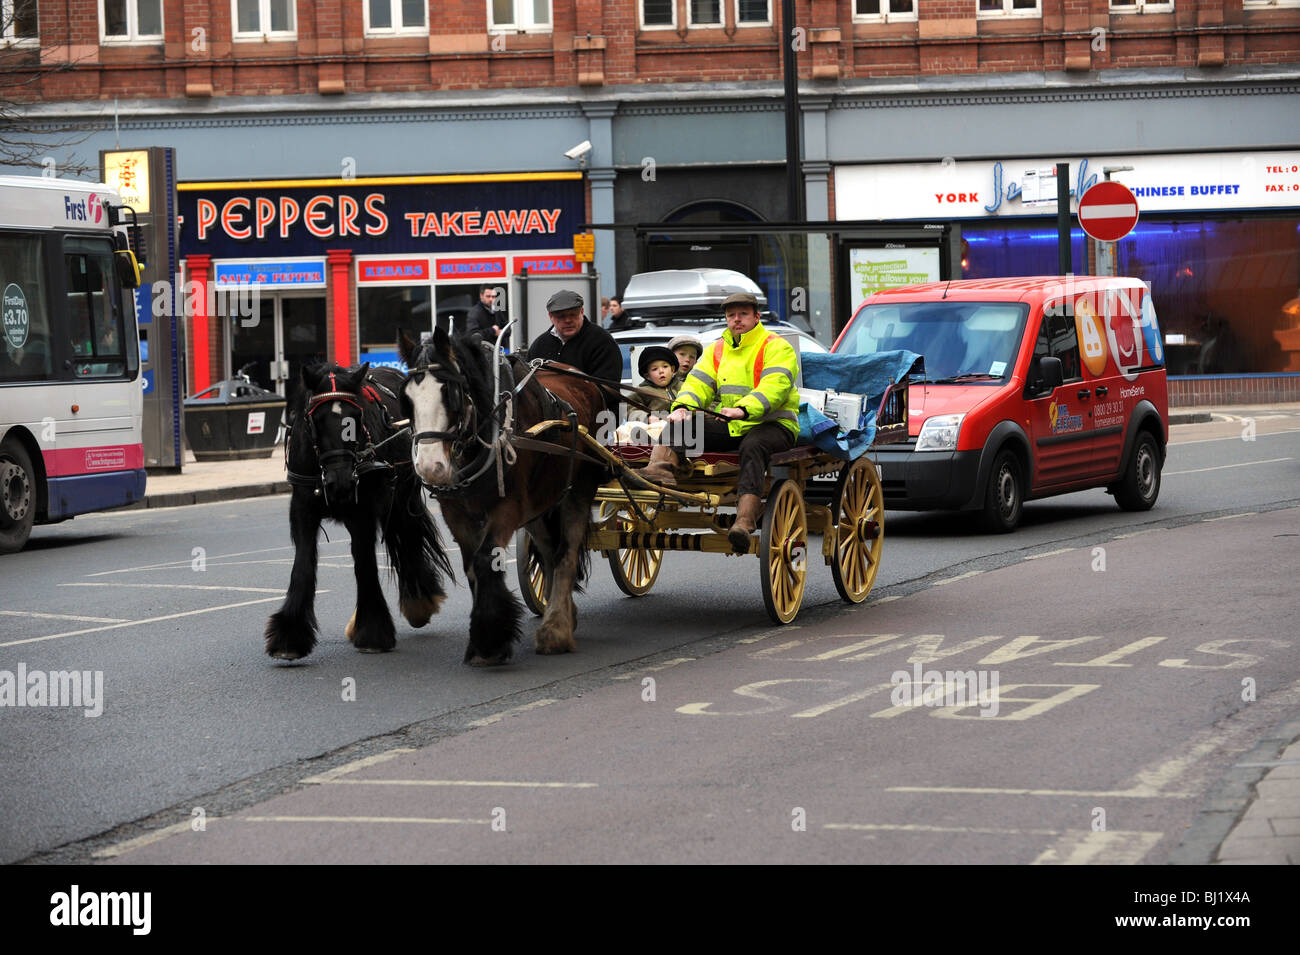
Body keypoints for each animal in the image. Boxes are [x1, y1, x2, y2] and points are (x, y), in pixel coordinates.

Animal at [263, 361, 452, 660]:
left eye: (356, 416)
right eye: (315, 420)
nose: (340, 483)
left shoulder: (362, 511)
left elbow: (364, 563)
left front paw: (372, 631)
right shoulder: (302, 509)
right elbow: (303, 564)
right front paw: (289, 638)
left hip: (401, 495)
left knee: (407, 536)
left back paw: (419, 601)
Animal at [397, 328, 605, 665]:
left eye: (450, 393)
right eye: (406, 399)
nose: (430, 467)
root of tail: (581, 378)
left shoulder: (508, 508)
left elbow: (486, 559)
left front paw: (491, 641)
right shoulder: (456, 513)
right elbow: (471, 566)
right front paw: (483, 640)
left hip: (579, 489)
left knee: (566, 553)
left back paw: (555, 630)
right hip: (540, 503)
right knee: (549, 551)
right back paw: (564, 615)